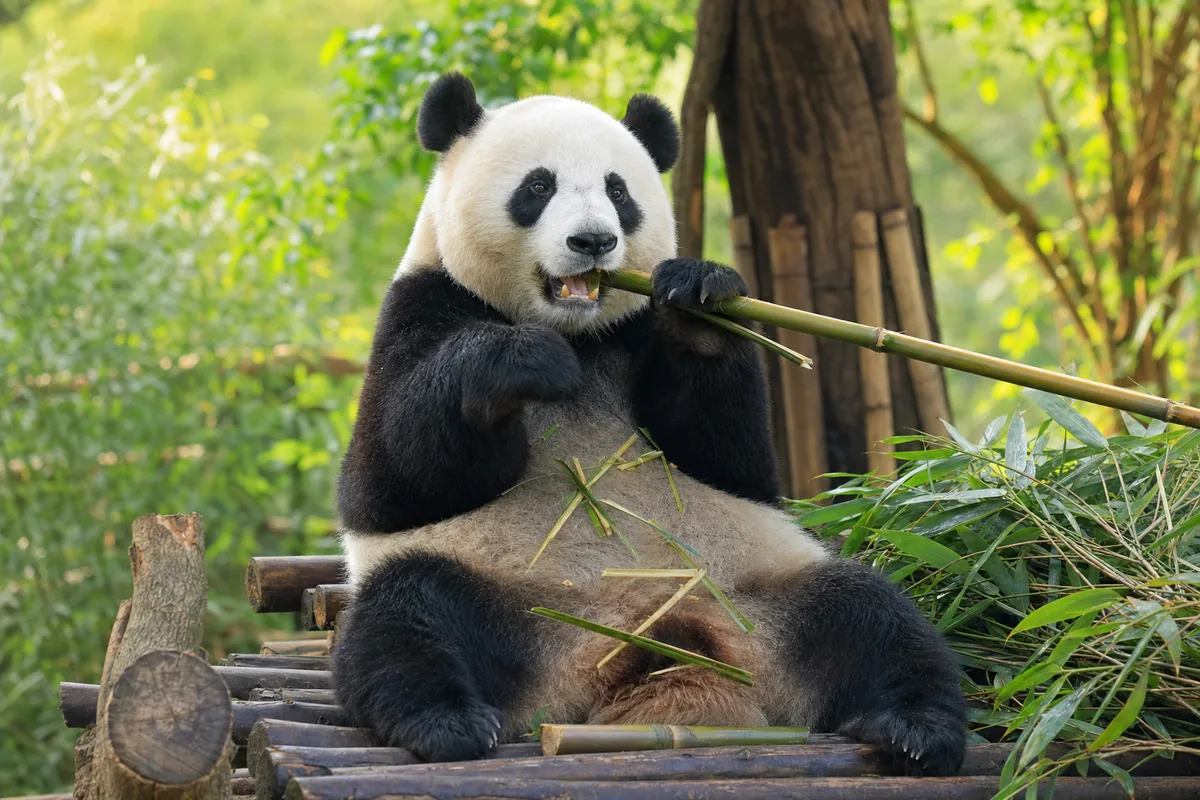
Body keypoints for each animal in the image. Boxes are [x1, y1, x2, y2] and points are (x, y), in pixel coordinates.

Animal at [332, 72, 967, 777]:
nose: (593, 242)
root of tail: (657, 646)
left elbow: (731, 459)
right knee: (410, 616)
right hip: (512, 603)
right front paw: (519, 362)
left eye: (618, 191)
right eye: (538, 187)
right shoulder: (422, 303)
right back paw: (447, 722)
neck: (578, 333)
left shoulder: (638, 331)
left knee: (872, 616)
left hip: (760, 596)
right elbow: (390, 482)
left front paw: (699, 298)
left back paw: (914, 728)